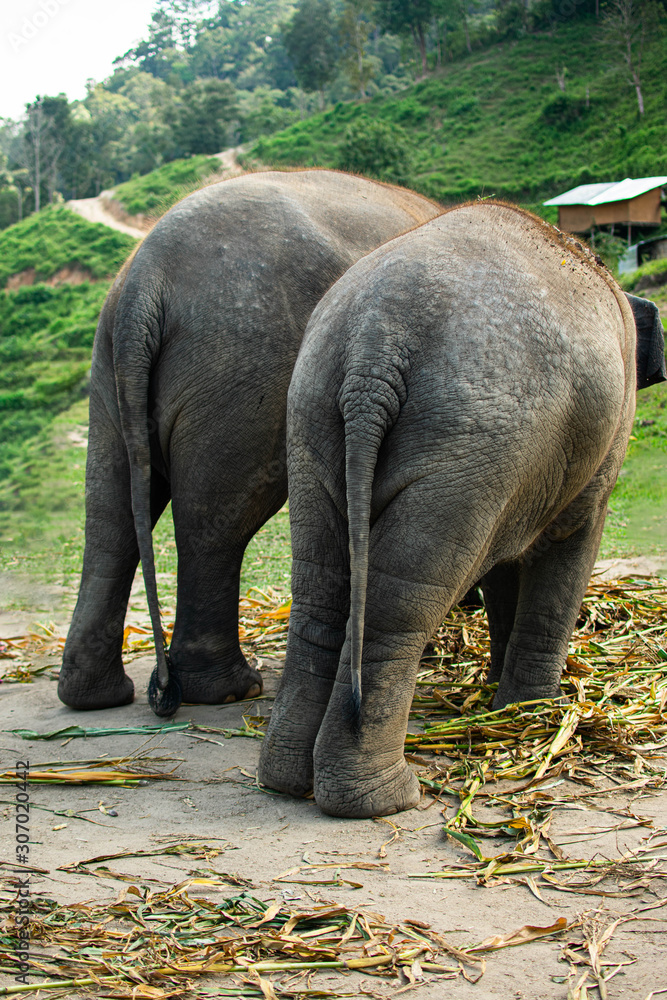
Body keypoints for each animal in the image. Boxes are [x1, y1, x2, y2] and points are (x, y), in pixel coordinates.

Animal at [57, 169, 441, 716]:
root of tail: (144, 281)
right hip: (240, 368)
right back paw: (229, 691)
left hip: (111, 367)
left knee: (110, 513)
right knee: (215, 520)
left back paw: (98, 698)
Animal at [258, 202, 666, 819]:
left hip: (315, 419)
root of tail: (374, 344)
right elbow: (569, 546)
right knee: (400, 600)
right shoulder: (594, 452)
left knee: (321, 587)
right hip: (470, 437)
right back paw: (387, 798)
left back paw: (287, 779)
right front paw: (534, 712)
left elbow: (503, 563)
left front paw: (503, 700)